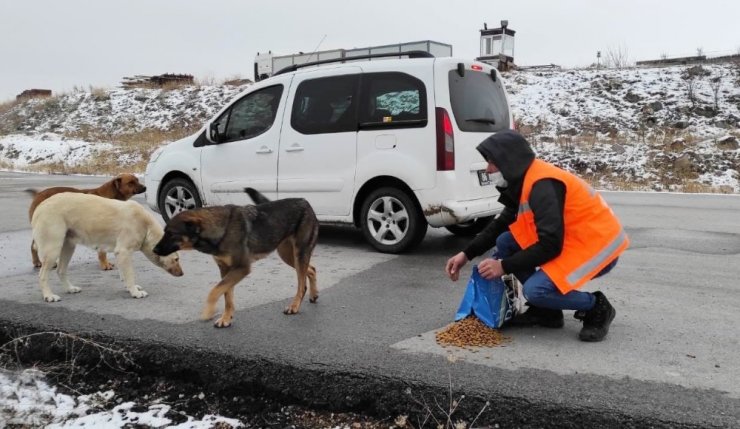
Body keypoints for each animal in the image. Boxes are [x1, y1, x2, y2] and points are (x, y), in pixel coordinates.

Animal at [31, 193, 184, 300]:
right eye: (176, 259)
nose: (182, 274)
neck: (146, 227)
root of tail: (40, 207)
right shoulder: (123, 252)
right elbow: (130, 274)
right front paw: (135, 292)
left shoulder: (121, 254)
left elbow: (124, 274)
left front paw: (130, 288)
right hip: (53, 250)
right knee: (42, 275)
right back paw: (48, 296)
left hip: (68, 247)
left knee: (61, 270)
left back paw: (70, 288)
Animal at [153, 188, 318, 328]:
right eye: (165, 232)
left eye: (171, 234)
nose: (154, 250)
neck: (221, 229)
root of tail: (305, 201)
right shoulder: (226, 270)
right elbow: (227, 295)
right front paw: (226, 318)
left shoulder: (241, 268)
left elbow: (214, 291)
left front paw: (208, 312)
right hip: (288, 255)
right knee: (311, 269)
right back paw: (314, 294)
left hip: (299, 254)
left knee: (302, 283)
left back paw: (294, 306)